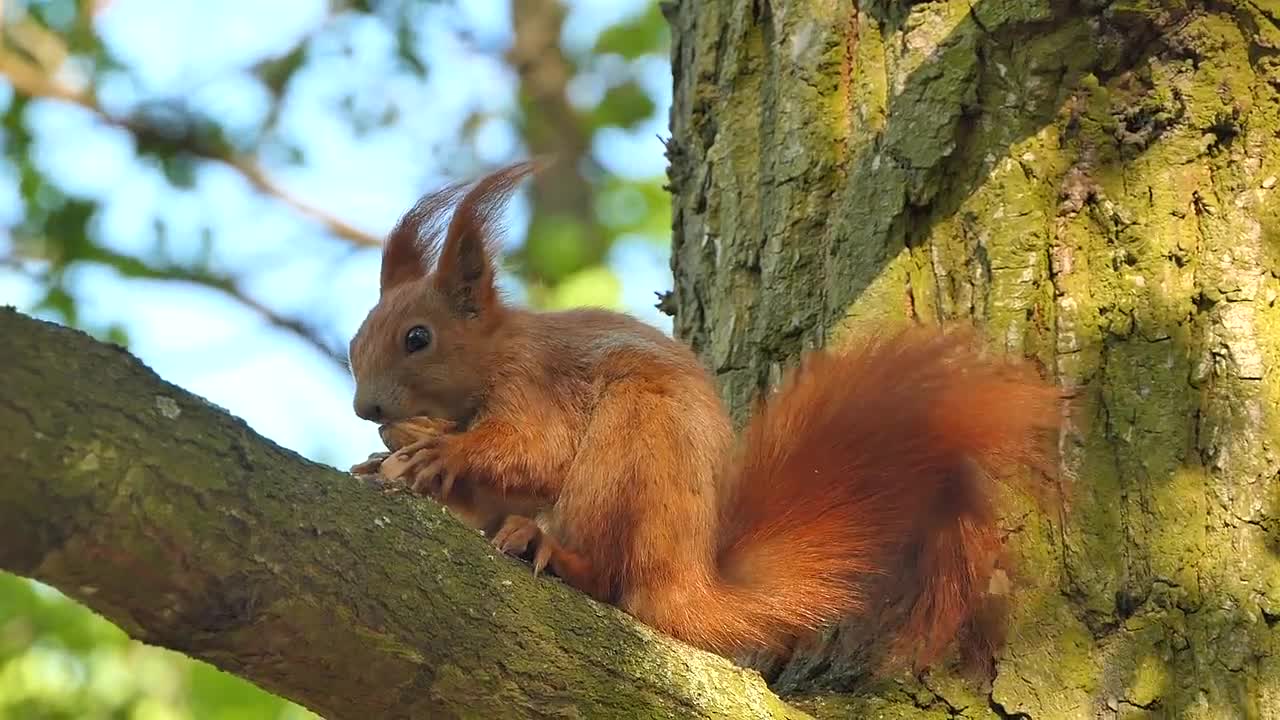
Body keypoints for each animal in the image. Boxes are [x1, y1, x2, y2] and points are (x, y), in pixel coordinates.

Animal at [343, 159, 1059, 671]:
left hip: (633, 450)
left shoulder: (536, 383)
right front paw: (388, 457)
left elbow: (537, 451)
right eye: (354, 342)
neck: (495, 355)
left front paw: (440, 450)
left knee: (612, 580)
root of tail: (687, 581)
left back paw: (551, 550)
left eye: (417, 338)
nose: (364, 407)